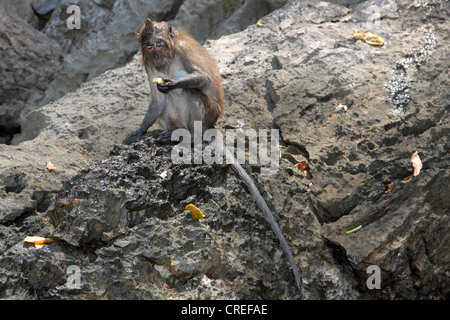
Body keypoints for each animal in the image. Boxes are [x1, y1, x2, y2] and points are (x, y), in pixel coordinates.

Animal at [125, 18, 300, 288]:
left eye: (160, 45)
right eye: (149, 47)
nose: (156, 56)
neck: (169, 57)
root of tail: (210, 126)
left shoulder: (183, 52)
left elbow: (201, 79)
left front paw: (174, 83)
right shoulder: (151, 70)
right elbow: (156, 99)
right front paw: (140, 130)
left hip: (204, 115)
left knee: (189, 92)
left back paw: (189, 137)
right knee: (166, 103)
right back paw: (172, 133)